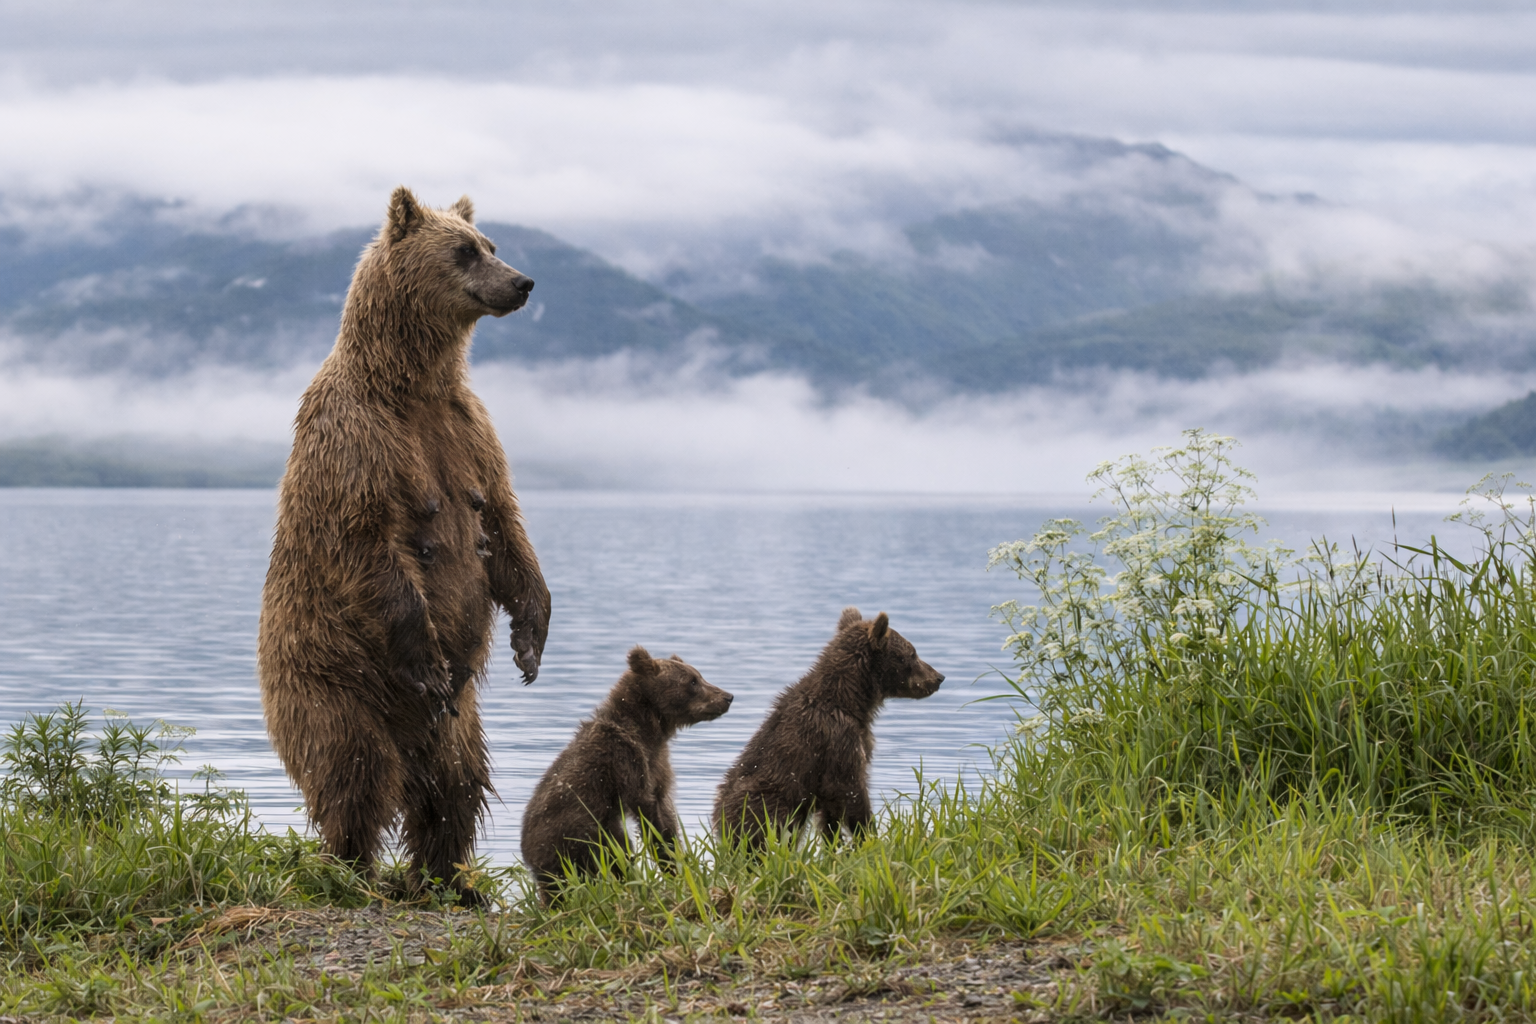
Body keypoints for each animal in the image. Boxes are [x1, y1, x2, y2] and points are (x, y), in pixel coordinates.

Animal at [257, 187, 552, 902]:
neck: (410, 382)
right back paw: (352, 869)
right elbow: (367, 543)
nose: (523, 282)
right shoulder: (356, 439)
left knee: (454, 784)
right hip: (332, 678)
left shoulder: (470, 430)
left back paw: (447, 878)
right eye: (465, 250)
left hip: (456, 721)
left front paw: (530, 640)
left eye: (492, 244)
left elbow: (505, 527)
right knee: (354, 771)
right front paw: (427, 656)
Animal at [521, 647, 733, 904]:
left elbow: (665, 812)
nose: (728, 697)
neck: (648, 729)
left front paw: (679, 861)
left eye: (698, 676)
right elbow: (647, 813)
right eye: (692, 681)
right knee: (607, 852)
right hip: (572, 833)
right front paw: (669, 864)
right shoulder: (626, 760)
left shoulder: (658, 764)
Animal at [712, 607, 943, 850]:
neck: (851, 701)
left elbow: (831, 813)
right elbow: (851, 792)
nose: (939, 677)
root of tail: (719, 827)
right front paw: (868, 837)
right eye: (912, 654)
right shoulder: (838, 739)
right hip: (763, 799)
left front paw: (837, 845)